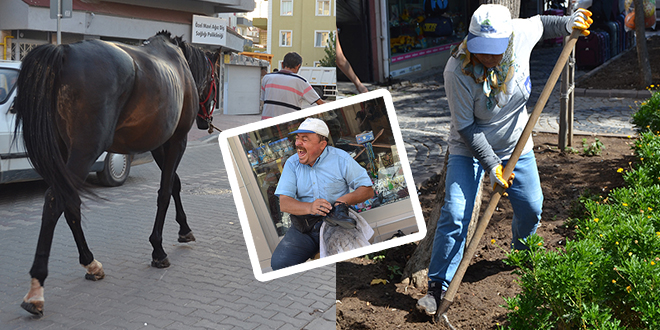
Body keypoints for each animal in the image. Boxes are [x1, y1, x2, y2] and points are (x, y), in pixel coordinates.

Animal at [14, 31, 219, 318]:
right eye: (215, 80)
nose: (205, 121)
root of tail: (65, 52)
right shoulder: (177, 141)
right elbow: (165, 191)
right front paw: (158, 249)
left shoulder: (158, 144)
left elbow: (175, 184)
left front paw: (184, 229)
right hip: (85, 151)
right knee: (55, 201)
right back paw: (36, 290)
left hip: (66, 152)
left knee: (69, 202)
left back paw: (90, 263)